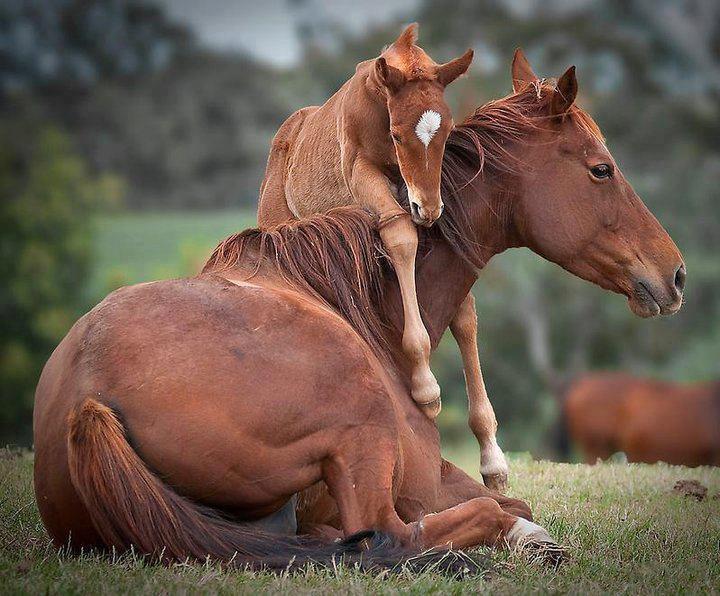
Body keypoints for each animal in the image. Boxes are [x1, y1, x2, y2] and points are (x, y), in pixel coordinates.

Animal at [258, 22, 472, 414]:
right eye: (397, 135)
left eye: (447, 132)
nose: (428, 209)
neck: (377, 101)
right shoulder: (361, 172)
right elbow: (400, 233)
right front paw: (426, 387)